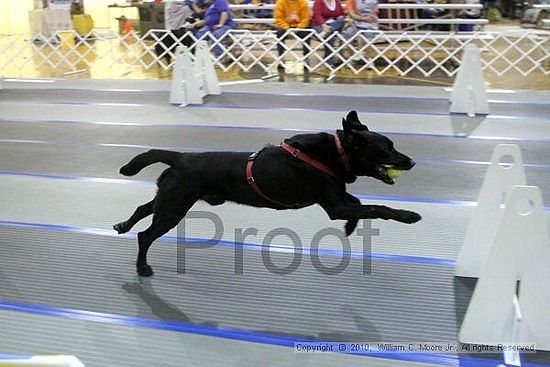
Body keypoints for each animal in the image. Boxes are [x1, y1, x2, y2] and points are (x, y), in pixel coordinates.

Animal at [115, 110, 422, 278]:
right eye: (387, 148)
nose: (411, 162)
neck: (335, 154)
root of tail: (180, 157)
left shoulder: (337, 197)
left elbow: (360, 203)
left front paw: (350, 227)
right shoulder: (334, 205)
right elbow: (377, 208)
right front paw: (408, 215)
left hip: (170, 198)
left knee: (143, 209)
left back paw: (122, 226)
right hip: (175, 207)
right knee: (146, 235)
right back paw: (142, 267)